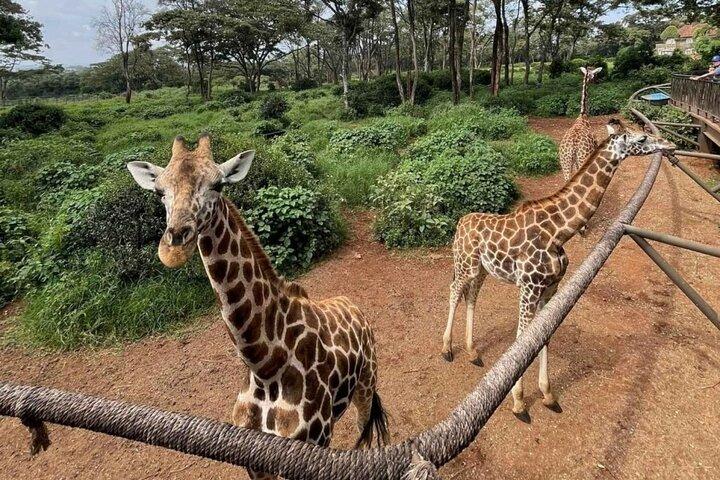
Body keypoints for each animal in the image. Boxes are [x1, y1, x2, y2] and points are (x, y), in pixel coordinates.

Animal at [127, 134, 389, 480]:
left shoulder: (311, 445)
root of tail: (352, 304)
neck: (265, 365)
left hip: (366, 384)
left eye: (218, 185)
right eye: (159, 191)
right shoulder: (253, 457)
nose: (175, 242)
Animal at [441, 120, 675, 421]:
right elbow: (522, 339)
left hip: (481, 269)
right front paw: (519, 403)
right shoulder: (529, 287)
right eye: (642, 138)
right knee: (454, 291)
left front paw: (548, 396)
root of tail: (460, 222)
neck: (559, 231)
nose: (670, 145)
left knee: (471, 296)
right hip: (465, 263)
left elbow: (544, 338)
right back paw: (447, 349)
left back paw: (473, 353)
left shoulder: (551, 288)